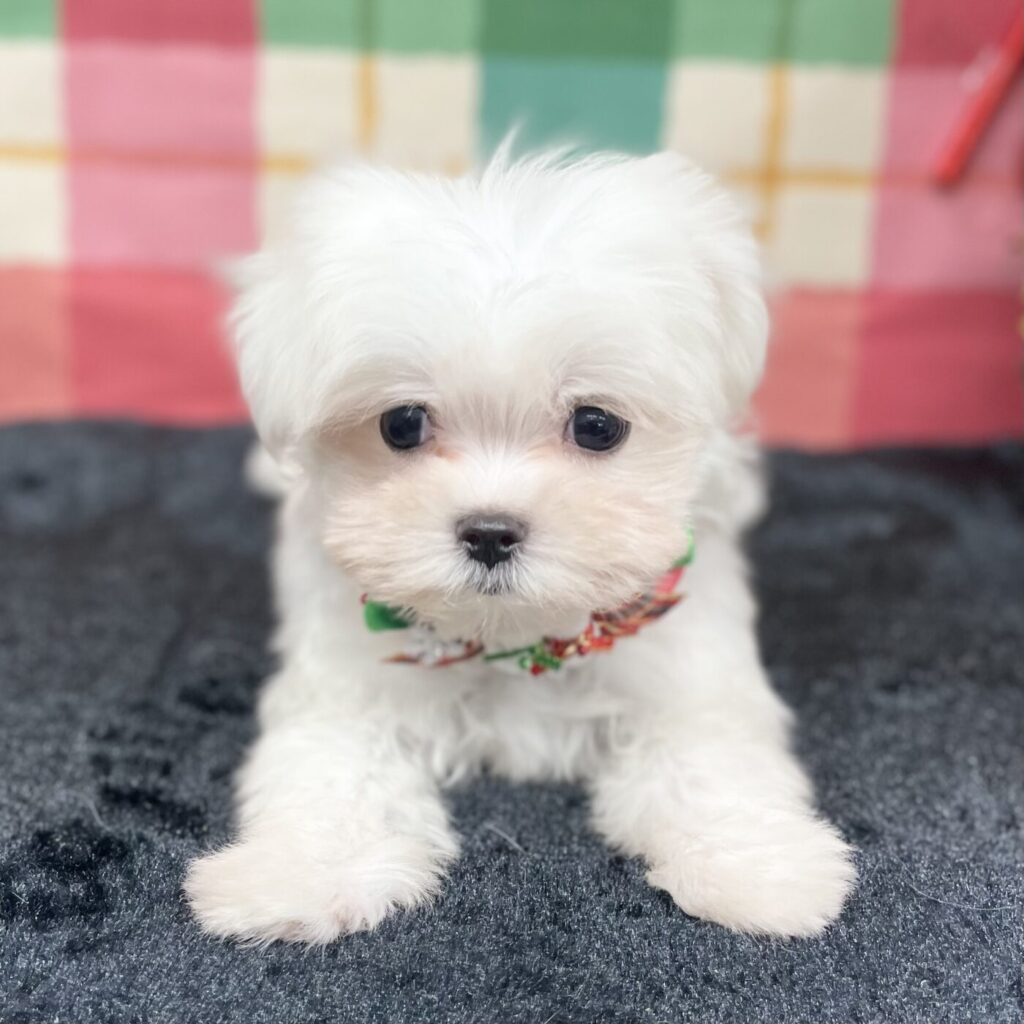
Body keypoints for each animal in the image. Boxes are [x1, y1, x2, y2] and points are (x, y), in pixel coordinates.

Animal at [184, 148, 856, 945]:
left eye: (597, 425)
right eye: (401, 424)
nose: (490, 532)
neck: (519, 638)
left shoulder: (687, 660)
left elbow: (713, 753)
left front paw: (759, 868)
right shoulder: (346, 677)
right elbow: (330, 765)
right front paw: (305, 874)